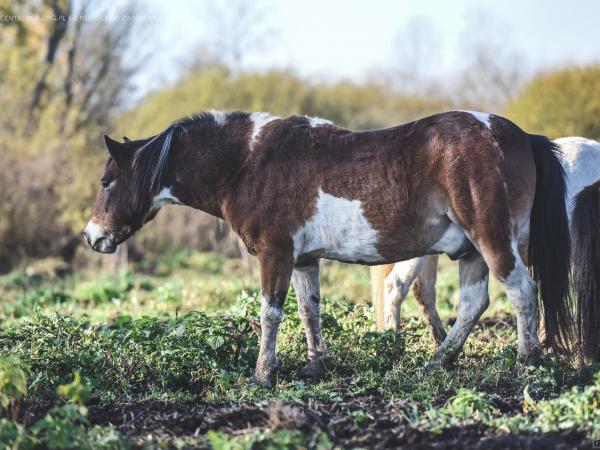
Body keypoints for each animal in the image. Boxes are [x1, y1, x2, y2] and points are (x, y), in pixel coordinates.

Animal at [84, 110, 572, 386]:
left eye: (107, 181)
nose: (92, 237)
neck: (249, 162)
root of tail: (519, 136)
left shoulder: (275, 255)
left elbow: (271, 313)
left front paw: (263, 374)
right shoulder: (303, 261)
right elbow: (309, 310)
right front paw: (315, 365)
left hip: (492, 240)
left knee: (522, 293)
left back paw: (525, 364)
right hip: (470, 252)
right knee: (473, 305)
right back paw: (436, 363)